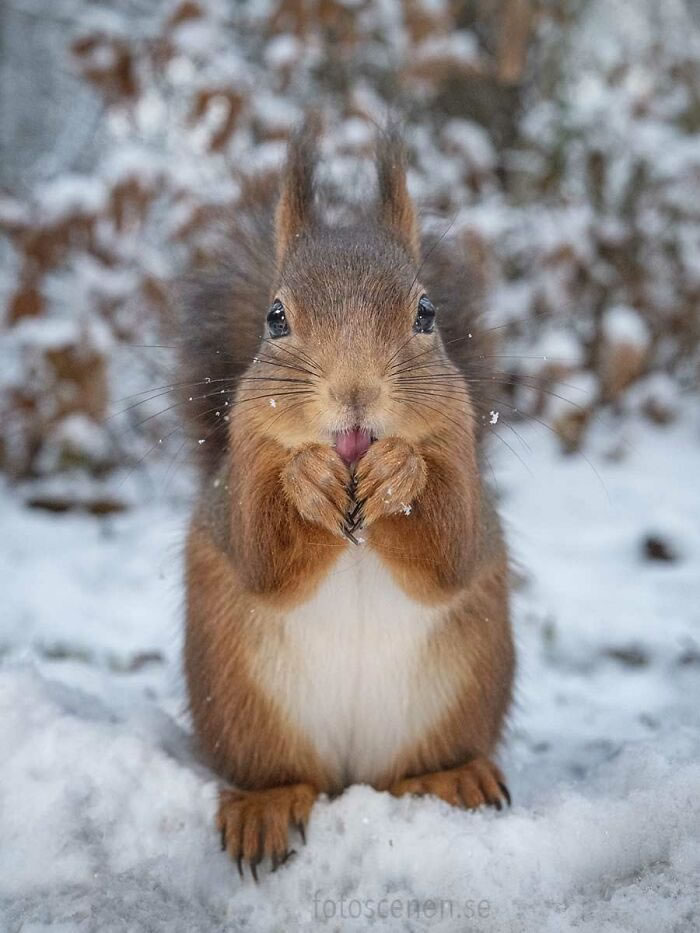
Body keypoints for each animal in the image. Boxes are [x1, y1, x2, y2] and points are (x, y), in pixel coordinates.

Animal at [176, 122, 516, 872]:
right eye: (275, 317)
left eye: (427, 312)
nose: (355, 392)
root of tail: (353, 776)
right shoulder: (238, 474)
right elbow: (262, 554)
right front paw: (307, 477)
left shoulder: (461, 457)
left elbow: (451, 547)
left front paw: (400, 472)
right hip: (242, 708)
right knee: (280, 773)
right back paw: (265, 805)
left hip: (462, 697)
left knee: (416, 769)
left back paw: (454, 775)